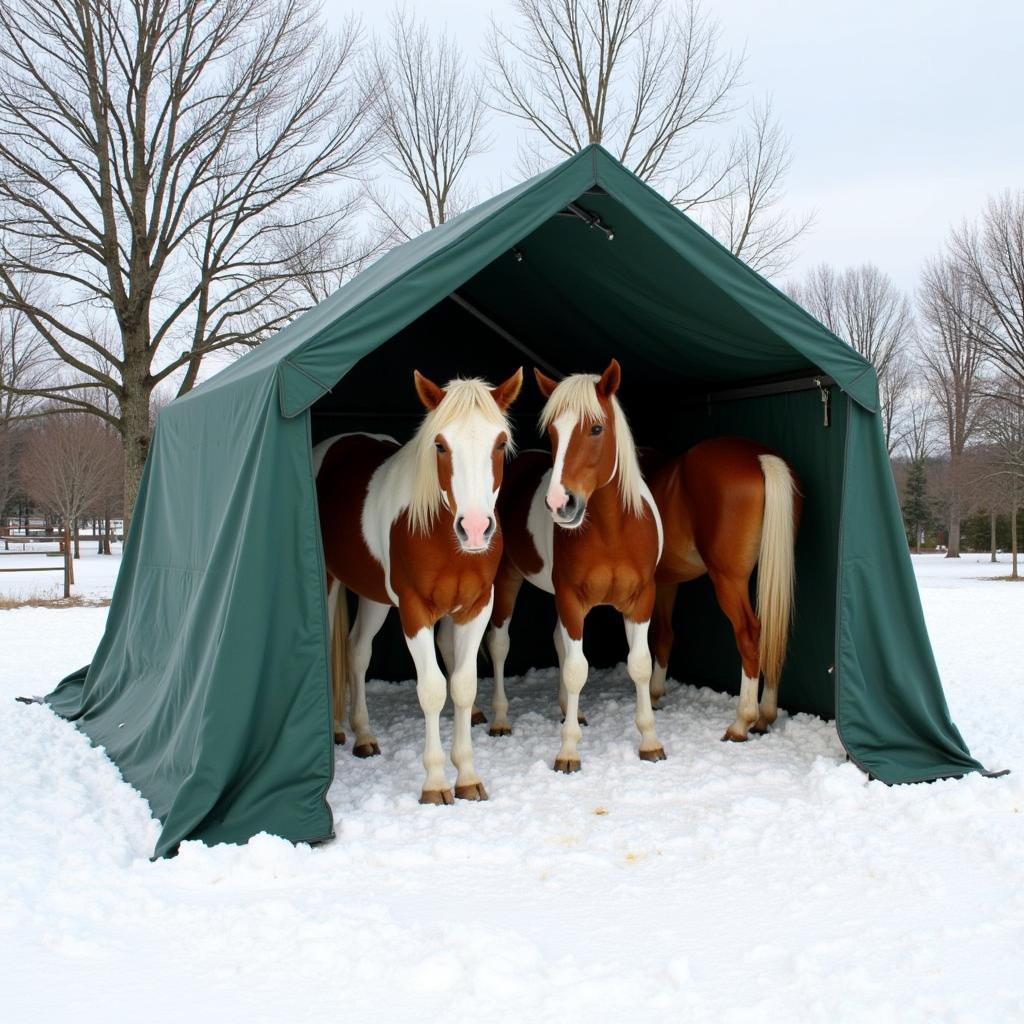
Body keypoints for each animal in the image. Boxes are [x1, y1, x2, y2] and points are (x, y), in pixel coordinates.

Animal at [313, 370, 524, 806]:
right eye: (440, 445)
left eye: (499, 443)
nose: (474, 528)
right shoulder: (414, 611)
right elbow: (431, 689)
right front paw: (436, 783)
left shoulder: (476, 607)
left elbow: (462, 687)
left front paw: (468, 777)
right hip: (329, 583)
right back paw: (340, 731)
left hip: (375, 597)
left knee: (357, 651)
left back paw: (364, 736)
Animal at [485, 360, 667, 770]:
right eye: (553, 432)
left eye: (596, 428)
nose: (560, 503)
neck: (613, 530)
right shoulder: (570, 598)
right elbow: (575, 669)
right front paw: (568, 750)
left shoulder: (641, 600)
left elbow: (639, 664)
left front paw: (650, 741)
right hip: (507, 581)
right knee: (500, 644)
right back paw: (501, 719)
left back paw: (573, 711)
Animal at [643, 436, 802, 741]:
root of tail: (760, 457)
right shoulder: (667, 583)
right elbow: (665, 635)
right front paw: (655, 694)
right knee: (771, 634)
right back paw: (765, 717)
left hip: (729, 581)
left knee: (750, 635)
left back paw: (742, 722)